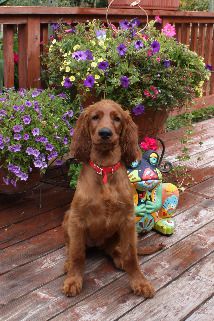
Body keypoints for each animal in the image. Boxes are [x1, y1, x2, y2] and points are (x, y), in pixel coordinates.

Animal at [62, 99, 155, 298]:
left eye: (117, 119)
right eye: (95, 117)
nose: (105, 133)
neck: (104, 168)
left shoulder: (128, 220)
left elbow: (131, 254)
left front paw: (140, 282)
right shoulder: (77, 219)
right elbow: (77, 253)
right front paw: (73, 280)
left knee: (114, 249)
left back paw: (118, 257)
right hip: (67, 217)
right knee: (70, 246)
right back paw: (67, 264)